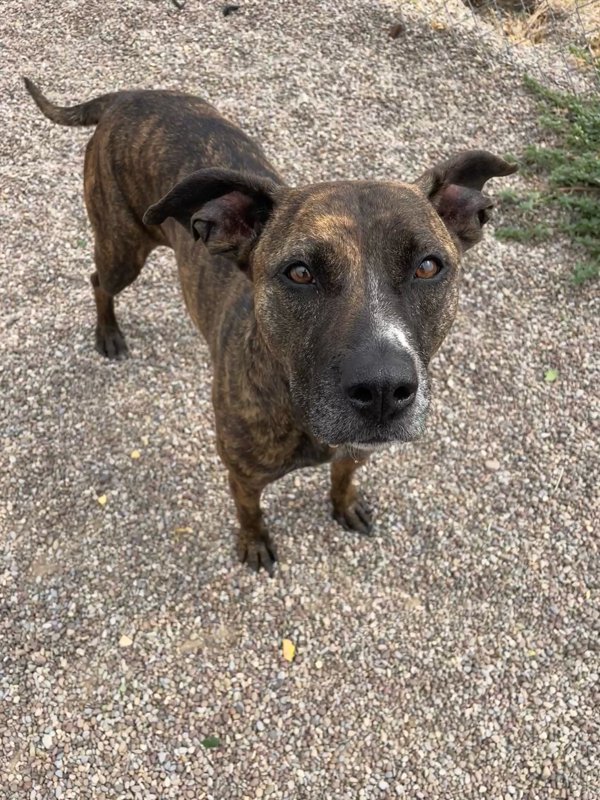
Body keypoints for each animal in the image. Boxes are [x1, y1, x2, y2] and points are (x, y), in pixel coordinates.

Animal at [25, 78, 516, 572]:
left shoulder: (357, 451)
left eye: (428, 267)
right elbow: (250, 511)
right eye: (299, 273)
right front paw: (255, 542)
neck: (296, 405)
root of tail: (128, 96)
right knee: (98, 282)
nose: (382, 390)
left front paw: (344, 503)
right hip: (122, 249)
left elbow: (342, 476)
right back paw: (108, 333)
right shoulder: (242, 476)